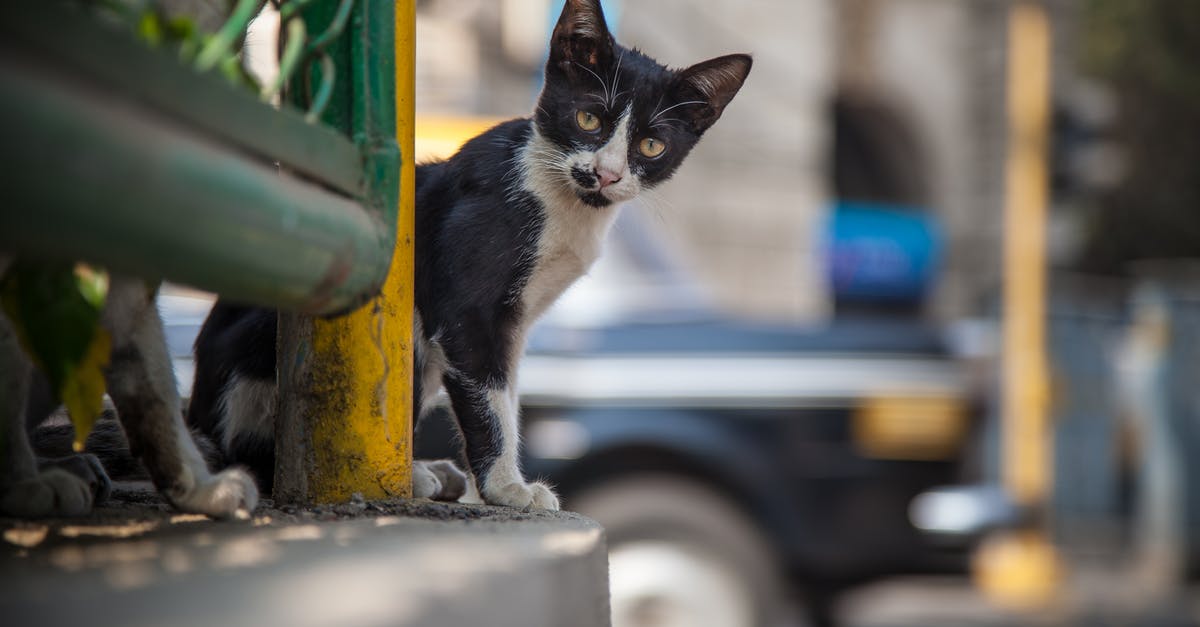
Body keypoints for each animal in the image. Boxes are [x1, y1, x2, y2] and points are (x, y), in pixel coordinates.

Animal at [190, 0, 744, 506]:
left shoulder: (513, 323)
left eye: (651, 146)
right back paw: (408, 477)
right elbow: (488, 396)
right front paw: (508, 488)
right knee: (254, 454)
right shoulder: (469, 305)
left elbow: (508, 394)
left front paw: (502, 480)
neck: (560, 202)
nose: (605, 174)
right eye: (588, 118)